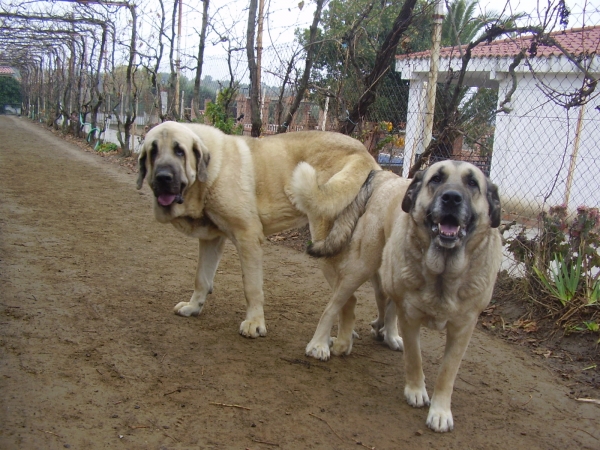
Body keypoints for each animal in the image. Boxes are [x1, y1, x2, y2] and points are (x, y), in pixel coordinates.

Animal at [138, 122, 378, 338]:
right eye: (152, 151)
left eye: (180, 151)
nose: (163, 177)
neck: (211, 173)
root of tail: (363, 152)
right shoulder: (211, 240)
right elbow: (201, 277)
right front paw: (193, 306)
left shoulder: (248, 238)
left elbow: (251, 287)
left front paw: (254, 323)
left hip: (326, 246)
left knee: (350, 298)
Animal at [304, 162, 502, 432]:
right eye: (436, 178)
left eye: (473, 183)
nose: (451, 198)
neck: (443, 274)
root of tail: (387, 175)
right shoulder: (411, 319)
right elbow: (414, 358)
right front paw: (416, 391)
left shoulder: (463, 328)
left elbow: (447, 373)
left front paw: (440, 411)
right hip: (362, 265)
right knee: (337, 304)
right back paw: (324, 343)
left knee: (384, 302)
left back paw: (383, 332)